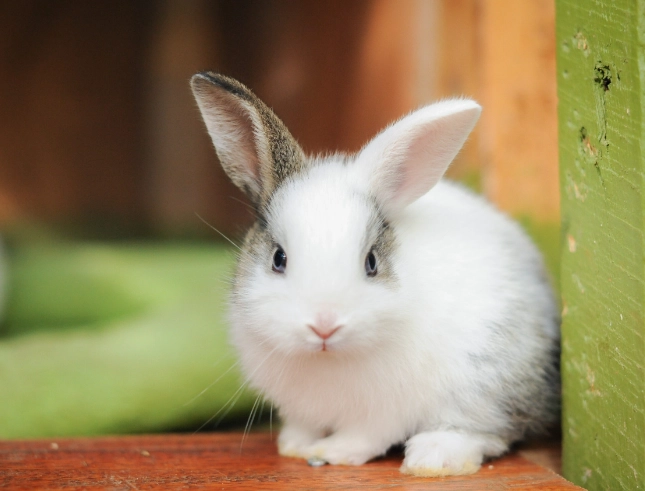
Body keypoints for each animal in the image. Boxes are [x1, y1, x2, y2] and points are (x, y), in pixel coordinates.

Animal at [190, 72, 560, 477]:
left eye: (371, 263)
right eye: (278, 258)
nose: (324, 326)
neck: (327, 358)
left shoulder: (384, 412)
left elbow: (365, 437)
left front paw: (332, 452)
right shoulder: (301, 408)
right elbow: (304, 426)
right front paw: (294, 446)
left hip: (486, 382)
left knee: (488, 430)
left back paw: (433, 458)